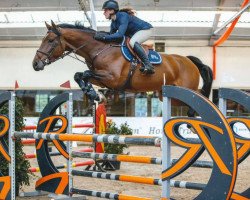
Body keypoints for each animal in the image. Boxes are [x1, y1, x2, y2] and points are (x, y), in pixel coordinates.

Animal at [32, 20, 213, 115]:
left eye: (50, 41)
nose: (35, 64)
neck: (99, 49)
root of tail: (188, 60)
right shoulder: (102, 79)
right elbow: (79, 75)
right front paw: (94, 95)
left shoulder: (113, 78)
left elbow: (84, 73)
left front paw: (94, 95)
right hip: (168, 96)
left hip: (187, 89)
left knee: (201, 96)